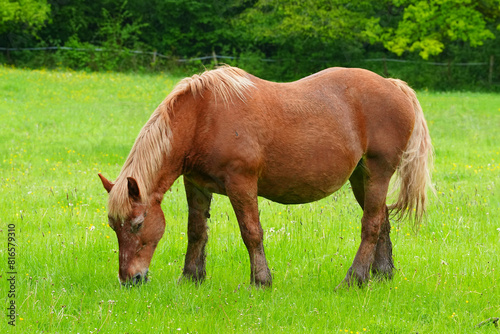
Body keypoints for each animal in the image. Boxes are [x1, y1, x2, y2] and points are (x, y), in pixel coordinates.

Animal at [98, 64, 434, 288]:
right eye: (114, 226)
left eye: (137, 224)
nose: (130, 279)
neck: (203, 117)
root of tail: (394, 85)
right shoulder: (196, 185)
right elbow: (196, 231)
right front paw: (192, 278)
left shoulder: (241, 183)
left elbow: (251, 232)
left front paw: (260, 280)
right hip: (360, 177)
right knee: (382, 220)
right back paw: (382, 274)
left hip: (378, 171)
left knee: (371, 224)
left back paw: (355, 279)